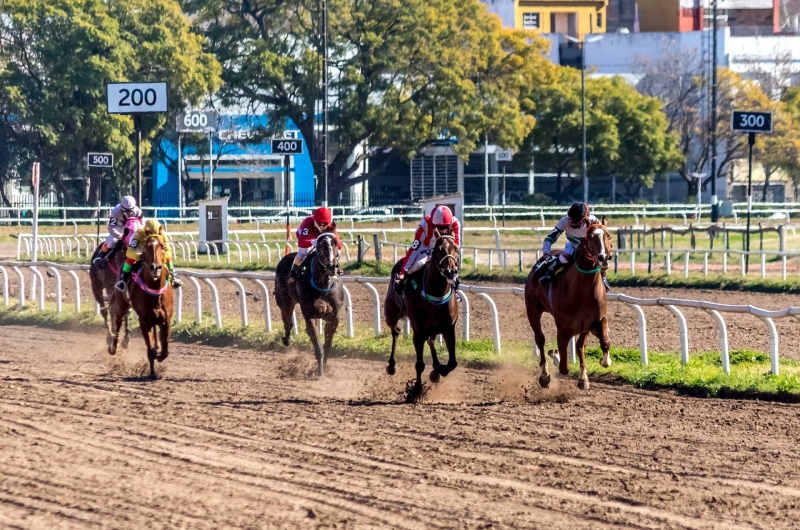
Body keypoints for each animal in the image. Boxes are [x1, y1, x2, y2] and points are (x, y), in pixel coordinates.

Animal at [107, 233, 174, 378]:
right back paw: (113, 347)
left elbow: (165, 351)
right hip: (121, 304)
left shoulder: (166, 320)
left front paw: (159, 355)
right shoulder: (144, 321)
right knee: (118, 321)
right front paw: (152, 373)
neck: (155, 291)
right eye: (146, 247)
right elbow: (150, 351)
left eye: (162, 246)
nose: (155, 268)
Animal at [274, 232, 342, 376]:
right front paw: (320, 373)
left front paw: (325, 367)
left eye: (335, 244)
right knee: (288, 323)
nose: (331, 267)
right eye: (321, 246)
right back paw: (286, 339)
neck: (322, 285)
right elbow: (318, 345)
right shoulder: (309, 314)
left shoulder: (334, 317)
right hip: (285, 301)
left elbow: (327, 345)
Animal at [384, 229, 460, 398]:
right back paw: (392, 366)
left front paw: (438, 369)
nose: (451, 272)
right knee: (395, 331)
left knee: (430, 340)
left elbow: (452, 363)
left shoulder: (449, 328)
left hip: (432, 328)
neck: (436, 292)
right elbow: (419, 364)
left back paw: (436, 370)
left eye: (456, 249)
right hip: (390, 313)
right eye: (439, 250)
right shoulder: (418, 331)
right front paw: (416, 390)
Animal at [524, 217, 612, 390]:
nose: (603, 258)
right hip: (532, 309)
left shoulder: (591, 322)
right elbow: (564, 367)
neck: (582, 292)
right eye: (589, 238)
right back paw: (545, 374)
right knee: (540, 338)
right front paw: (555, 357)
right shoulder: (563, 328)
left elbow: (597, 344)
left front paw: (586, 376)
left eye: (609, 236)